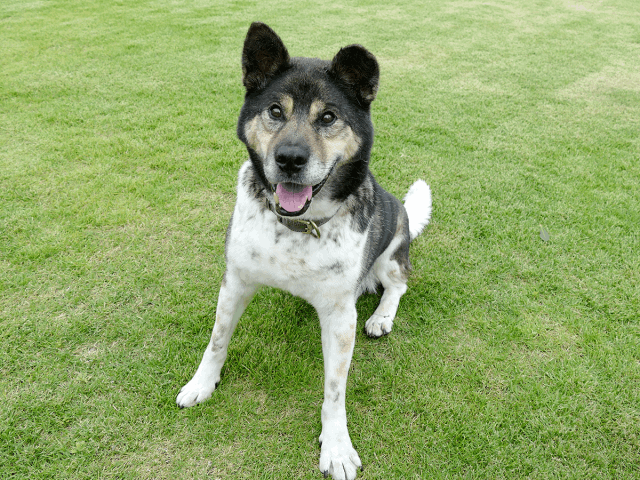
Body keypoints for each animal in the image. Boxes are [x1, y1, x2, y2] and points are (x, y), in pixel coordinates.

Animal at [178, 22, 432, 480]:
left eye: (327, 117)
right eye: (276, 112)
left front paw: (336, 446)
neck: (297, 225)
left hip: (393, 248)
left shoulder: (340, 316)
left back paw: (382, 316)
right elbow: (217, 340)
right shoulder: (236, 280)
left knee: (398, 284)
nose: (290, 159)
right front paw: (201, 384)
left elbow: (335, 389)